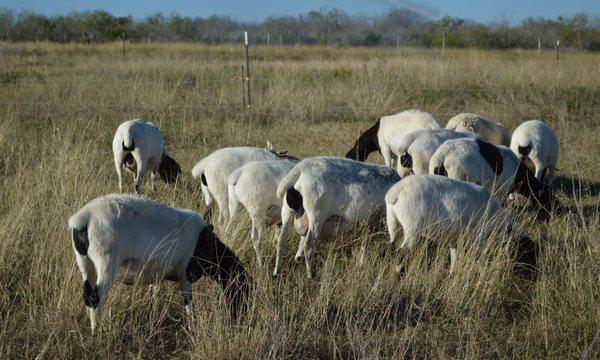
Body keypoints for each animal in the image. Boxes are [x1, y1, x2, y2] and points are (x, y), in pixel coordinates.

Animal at [67, 195, 251, 334]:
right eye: (244, 291)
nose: (240, 321)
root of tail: (83, 219)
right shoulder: (184, 273)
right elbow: (188, 303)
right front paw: (192, 328)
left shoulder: (155, 274)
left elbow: (152, 299)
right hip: (107, 262)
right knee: (96, 298)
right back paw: (97, 333)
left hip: (85, 263)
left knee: (87, 296)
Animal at [384, 174, 540, 276]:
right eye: (527, 253)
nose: (535, 274)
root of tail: (395, 192)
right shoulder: (479, 237)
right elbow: (478, 256)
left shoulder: (455, 239)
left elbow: (454, 257)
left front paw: (452, 274)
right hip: (413, 228)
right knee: (401, 251)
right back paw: (398, 274)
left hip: (393, 223)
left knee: (392, 248)